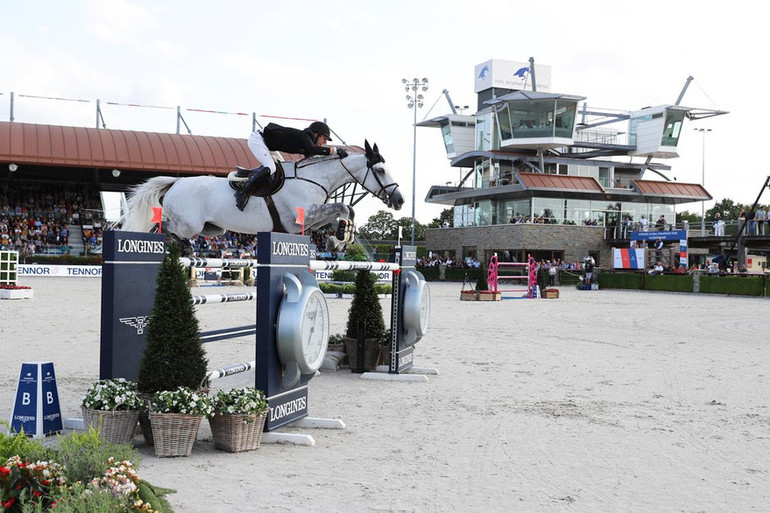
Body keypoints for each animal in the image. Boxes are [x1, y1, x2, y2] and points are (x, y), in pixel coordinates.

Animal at [120, 139, 402, 249]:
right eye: (380, 170)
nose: (400, 201)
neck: (314, 178)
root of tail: (177, 181)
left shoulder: (309, 220)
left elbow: (347, 209)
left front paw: (340, 239)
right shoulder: (300, 218)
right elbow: (344, 207)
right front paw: (340, 238)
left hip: (213, 228)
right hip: (190, 224)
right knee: (165, 225)